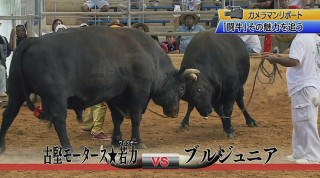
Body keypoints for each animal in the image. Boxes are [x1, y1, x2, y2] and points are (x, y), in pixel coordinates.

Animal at [0, 26, 195, 153]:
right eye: (181, 88)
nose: (175, 112)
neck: (149, 55)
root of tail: (31, 41)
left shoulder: (116, 95)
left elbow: (117, 118)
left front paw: (116, 140)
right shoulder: (138, 93)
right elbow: (136, 118)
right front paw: (138, 142)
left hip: (16, 93)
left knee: (9, 114)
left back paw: (2, 146)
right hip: (56, 97)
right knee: (59, 120)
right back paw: (68, 147)